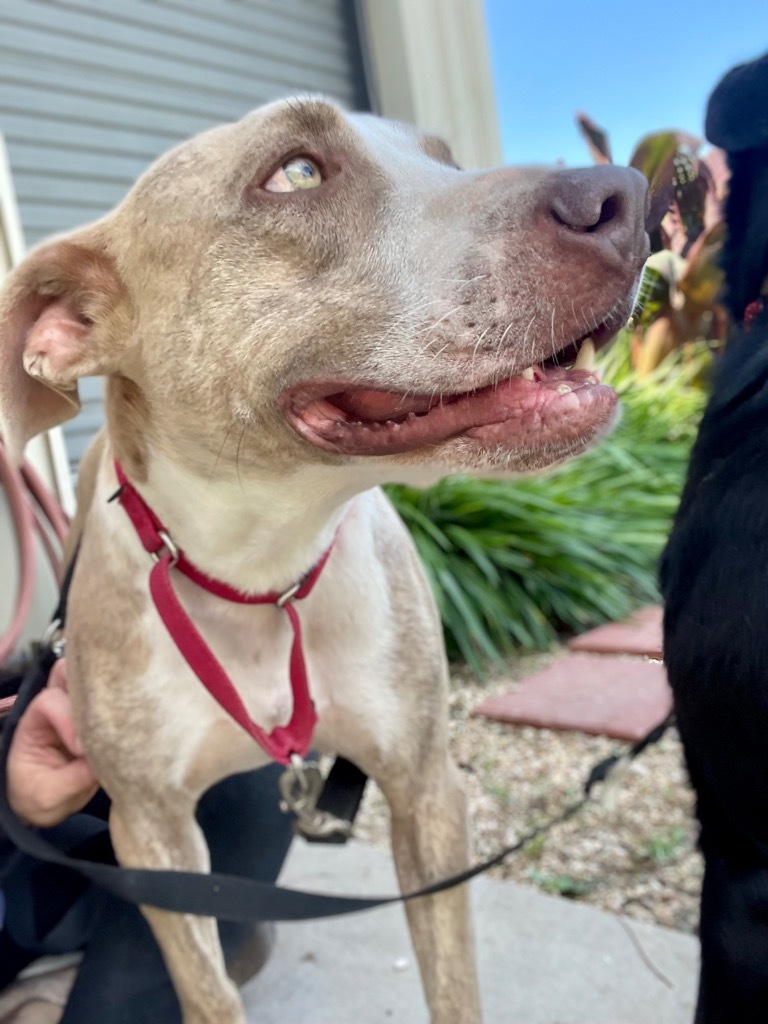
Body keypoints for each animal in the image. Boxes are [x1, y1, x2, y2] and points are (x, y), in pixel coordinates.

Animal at [0, 97, 651, 1024]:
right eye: (297, 172)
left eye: (443, 159)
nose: (626, 198)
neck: (258, 566)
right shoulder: (152, 837)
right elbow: (206, 993)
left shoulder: (426, 789)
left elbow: (453, 984)